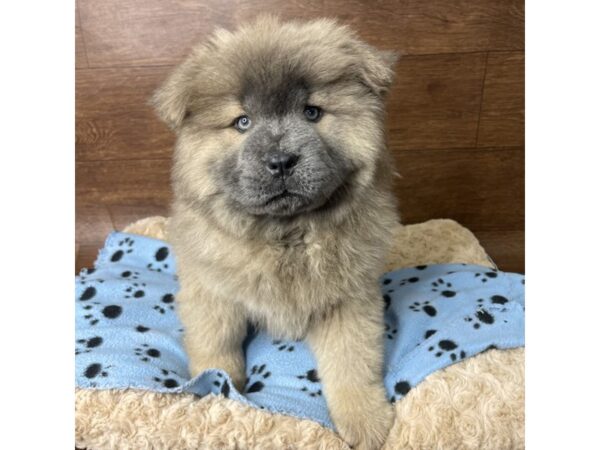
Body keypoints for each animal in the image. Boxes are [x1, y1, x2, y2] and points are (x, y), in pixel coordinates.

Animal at [152, 15, 400, 448]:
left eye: (312, 112)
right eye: (242, 122)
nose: (281, 160)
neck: (285, 235)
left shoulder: (350, 301)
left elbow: (353, 363)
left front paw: (366, 422)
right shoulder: (213, 293)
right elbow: (216, 343)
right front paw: (216, 386)